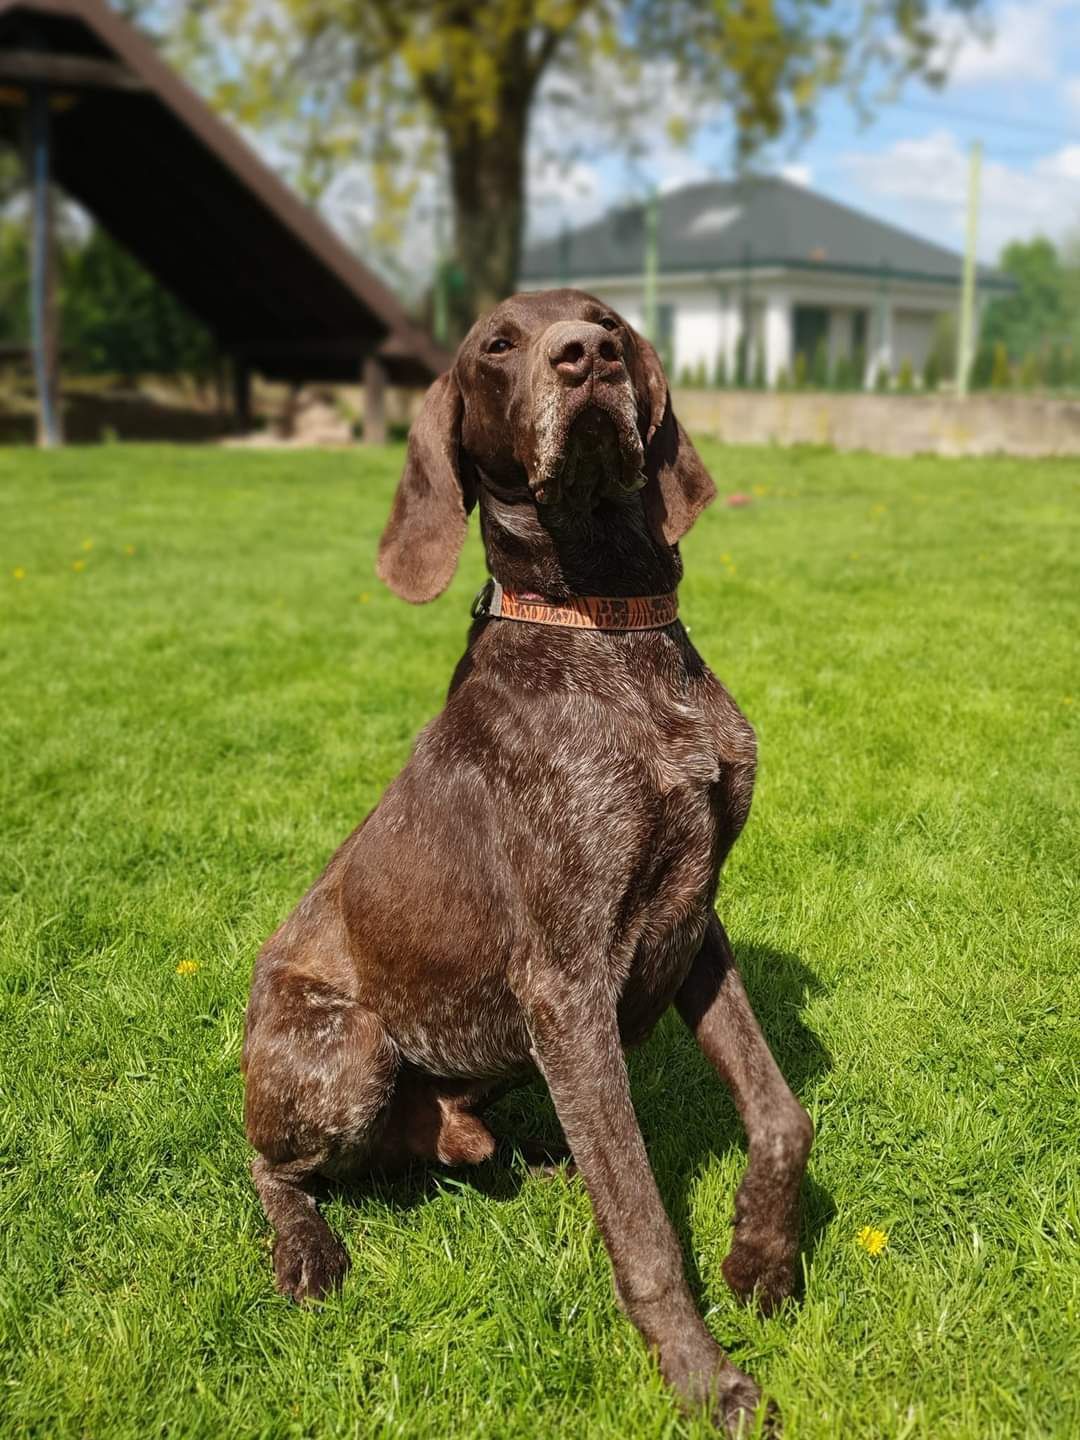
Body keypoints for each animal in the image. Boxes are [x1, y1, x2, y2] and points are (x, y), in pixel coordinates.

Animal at [243, 286, 812, 1434]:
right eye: (496, 346)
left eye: (609, 321)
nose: (584, 356)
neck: (610, 632)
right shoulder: (568, 981)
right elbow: (644, 1225)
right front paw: (703, 1377)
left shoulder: (695, 917)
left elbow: (782, 1116)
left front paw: (761, 1260)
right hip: (349, 1051)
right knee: (269, 1168)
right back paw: (308, 1250)